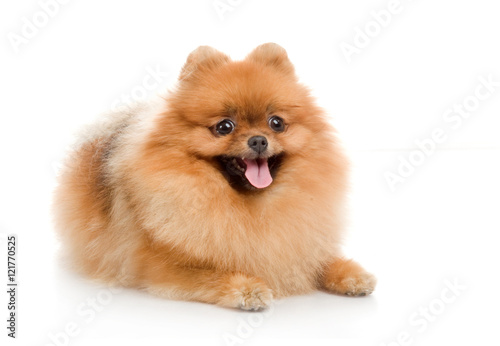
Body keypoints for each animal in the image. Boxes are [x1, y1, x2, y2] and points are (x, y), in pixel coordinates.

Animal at [53, 43, 376, 310]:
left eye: (277, 123)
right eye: (224, 127)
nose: (258, 140)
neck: (250, 208)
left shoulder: (301, 244)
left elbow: (320, 259)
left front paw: (352, 274)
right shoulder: (156, 265)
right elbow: (209, 274)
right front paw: (247, 288)